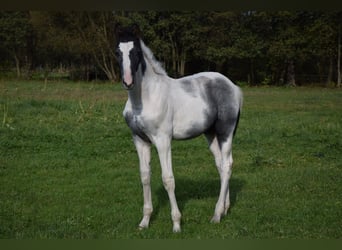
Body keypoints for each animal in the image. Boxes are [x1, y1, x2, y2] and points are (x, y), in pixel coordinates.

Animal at [115, 25, 243, 232]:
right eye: (117, 52)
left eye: (136, 52)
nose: (128, 82)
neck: (144, 99)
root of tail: (233, 87)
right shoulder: (140, 140)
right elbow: (145, 176)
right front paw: (145, 221)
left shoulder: (163, 140)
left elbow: (168, 179)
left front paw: (176, 223)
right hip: (211, 134)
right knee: (221, 165)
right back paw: (224, 209)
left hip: (226, 132)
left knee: (227, 165)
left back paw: (216, 215)